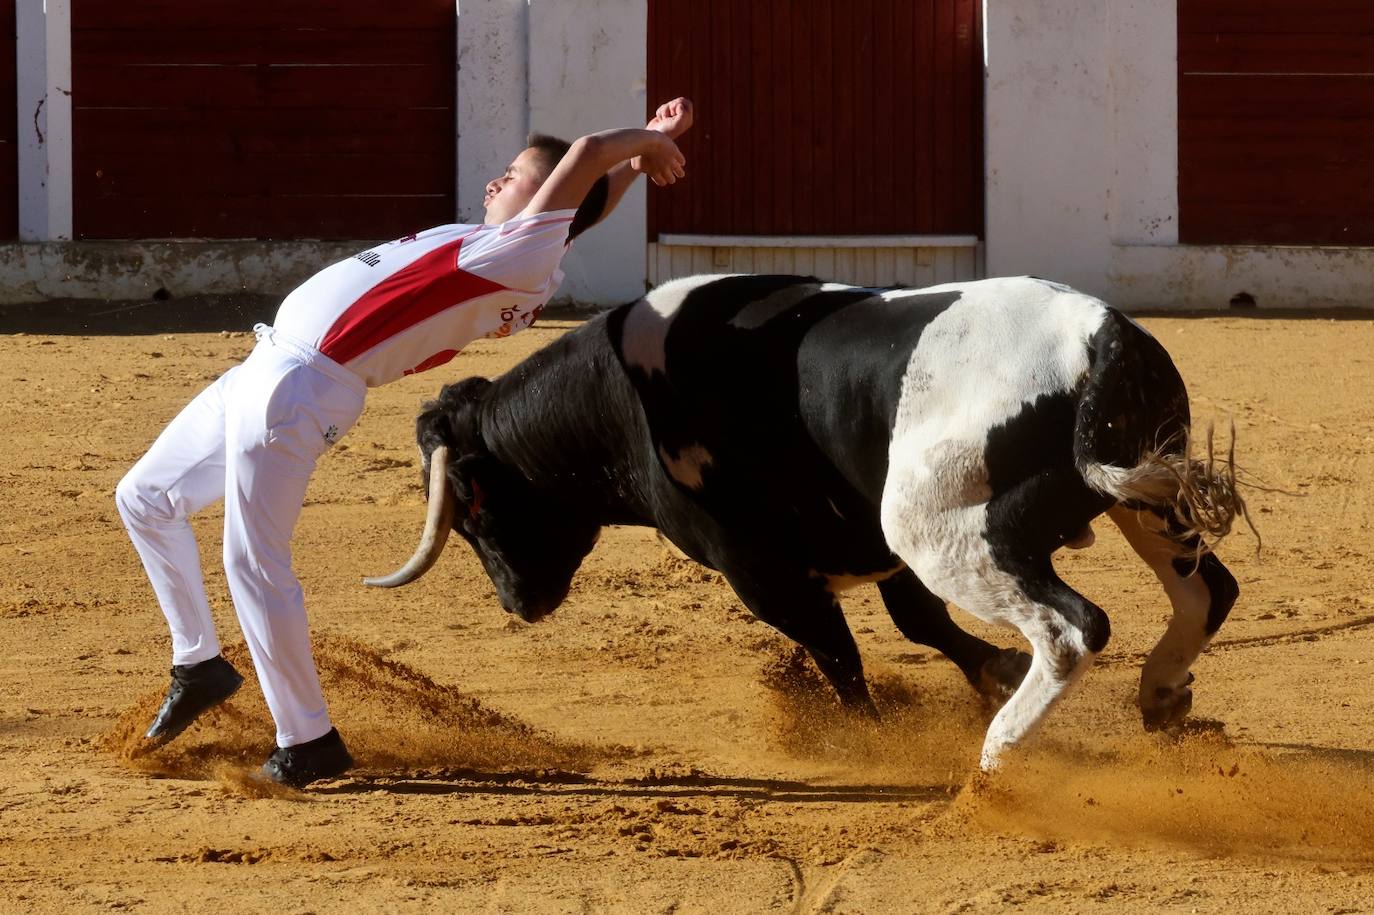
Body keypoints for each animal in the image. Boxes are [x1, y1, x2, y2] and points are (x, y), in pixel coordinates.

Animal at [368, 274, 1247, 763]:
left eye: (474, 506)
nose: (518, 602)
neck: (622, 401)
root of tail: (1101, 339)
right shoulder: (864, 545)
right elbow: (918, 622)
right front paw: (992, 669)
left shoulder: (759, 569)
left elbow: (837, 652)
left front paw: (873, 738)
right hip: (1138, 494)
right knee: (1207, 590)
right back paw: (1159, 696)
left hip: (942, 527)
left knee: (1071, 629)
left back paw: (997, 760)